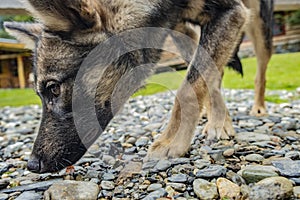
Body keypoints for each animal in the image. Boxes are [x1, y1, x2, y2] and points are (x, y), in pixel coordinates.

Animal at [4, 0, 274, 172]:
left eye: (54, 89)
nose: (32, 165)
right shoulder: (184, 28)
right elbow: (202, 78)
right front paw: (216, 122)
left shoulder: (232, 12)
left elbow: (188, 88)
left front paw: (171, 142)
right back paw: (217, 119)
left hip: (258, 25)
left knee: (259, 73)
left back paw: (257, 108)